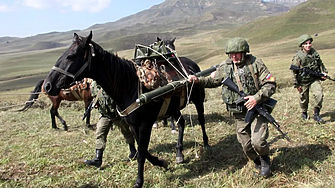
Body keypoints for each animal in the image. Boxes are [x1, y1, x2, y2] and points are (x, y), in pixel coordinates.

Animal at [43, 31, 209, 187]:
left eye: (70, 56)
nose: (47, 86)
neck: (129, 86)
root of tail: (192, 65)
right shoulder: (133, 124)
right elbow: (143, 149)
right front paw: (161, 162)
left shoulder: (145, 124)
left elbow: (141, 152)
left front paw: (139, 181)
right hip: (173, 107)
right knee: (181, 124)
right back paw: (179, 153)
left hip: (198, 100)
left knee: (201, 120)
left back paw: (206, 143)